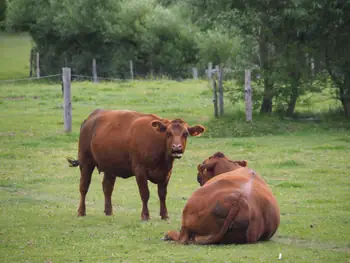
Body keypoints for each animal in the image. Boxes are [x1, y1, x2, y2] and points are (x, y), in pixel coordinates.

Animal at [66, 109, 205, 221]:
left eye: (185, 134)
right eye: (168, 133)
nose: (177, 148)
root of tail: (91, 117)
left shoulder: (166, 173)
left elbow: (162, 194)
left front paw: (164, 215)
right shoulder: (140, 170)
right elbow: (145, 193)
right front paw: (145, 215)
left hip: (110, 167)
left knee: (107, 187)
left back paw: (109, 211)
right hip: (86, 162)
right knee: (83, 186)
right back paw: (81, 211)